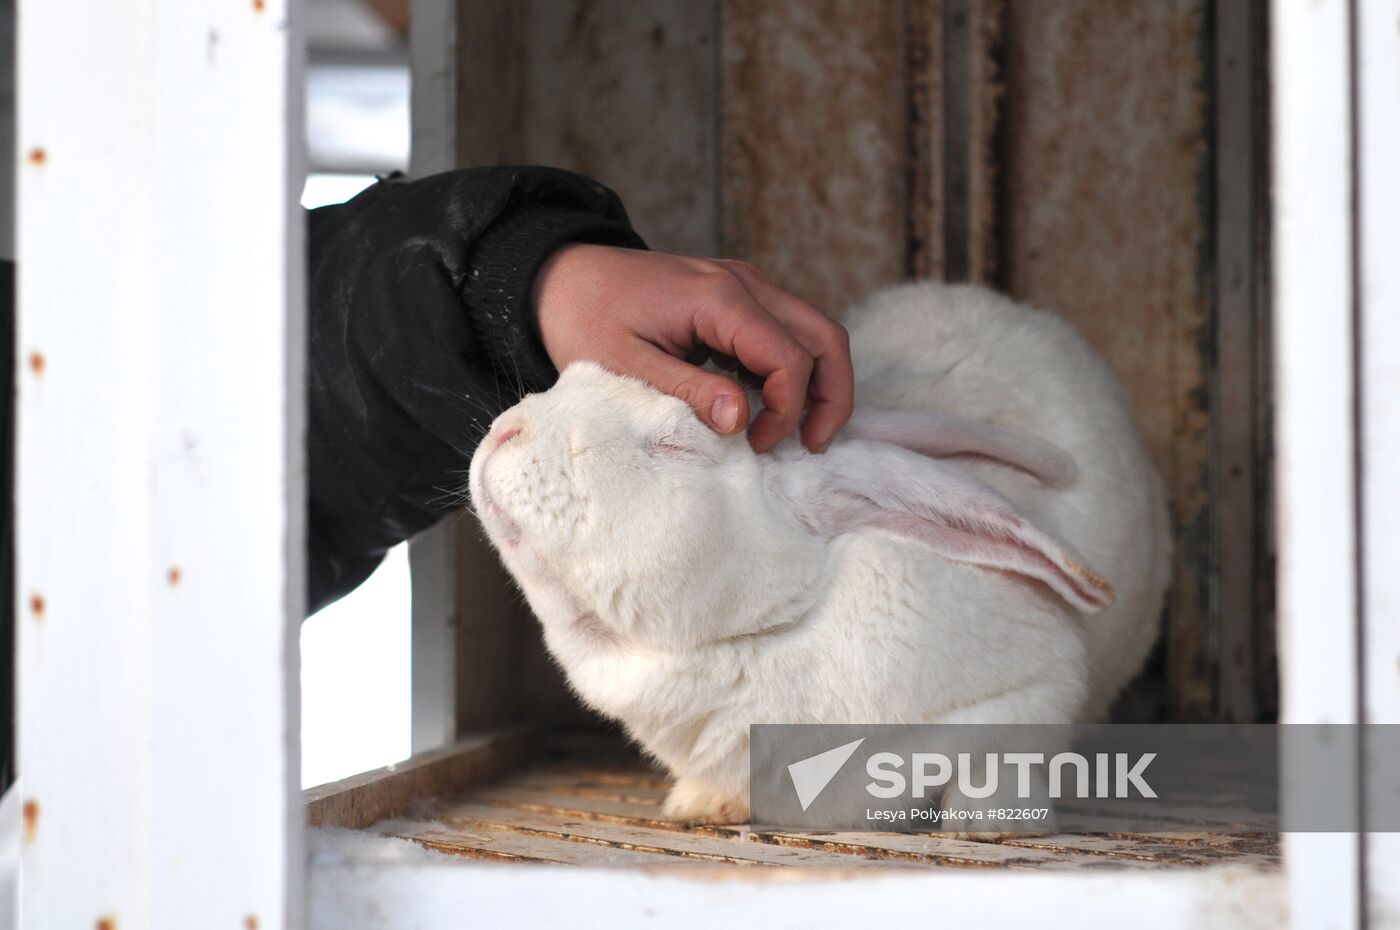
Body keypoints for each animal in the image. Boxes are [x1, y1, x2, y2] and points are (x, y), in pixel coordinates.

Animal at [467, 281, 1171, 833]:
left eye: (675, 443)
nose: (508, 431)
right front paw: (699, 805)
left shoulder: (1038, 688)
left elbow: (1005, 754)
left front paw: (981, 823)